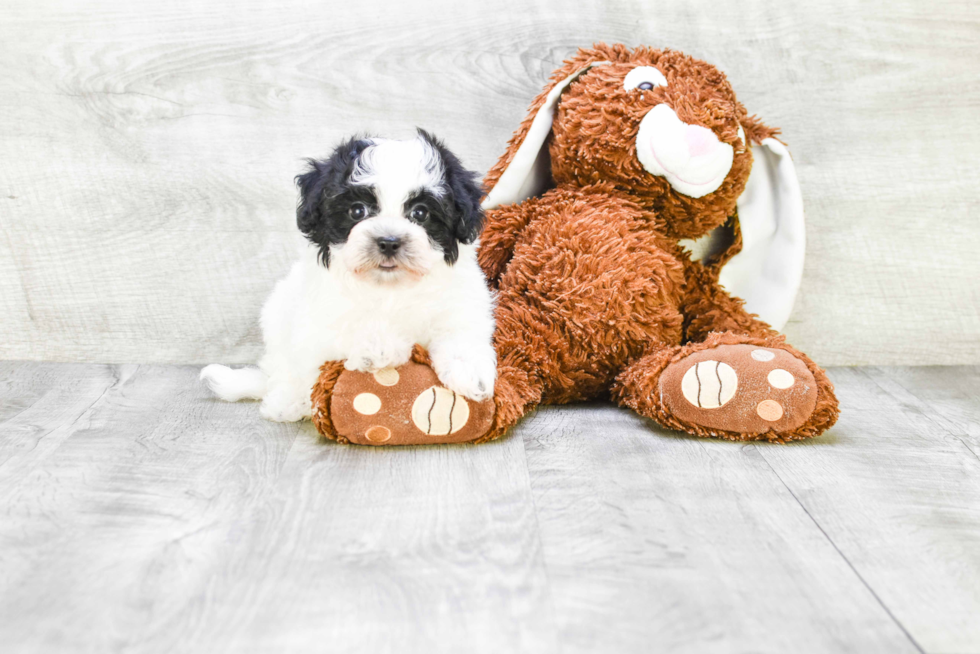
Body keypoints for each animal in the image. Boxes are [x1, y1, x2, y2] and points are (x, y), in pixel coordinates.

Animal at [205, 131, 498, 422]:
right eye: (357, 211)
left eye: (421, 212)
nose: (389, 242)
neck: (391, 287)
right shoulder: (319, 318)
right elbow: (347, 328)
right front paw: (379, 347)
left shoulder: (460, 303)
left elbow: (461, 334)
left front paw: (470, 373)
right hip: (277, 317)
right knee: (285, 371)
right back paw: (287, 402)